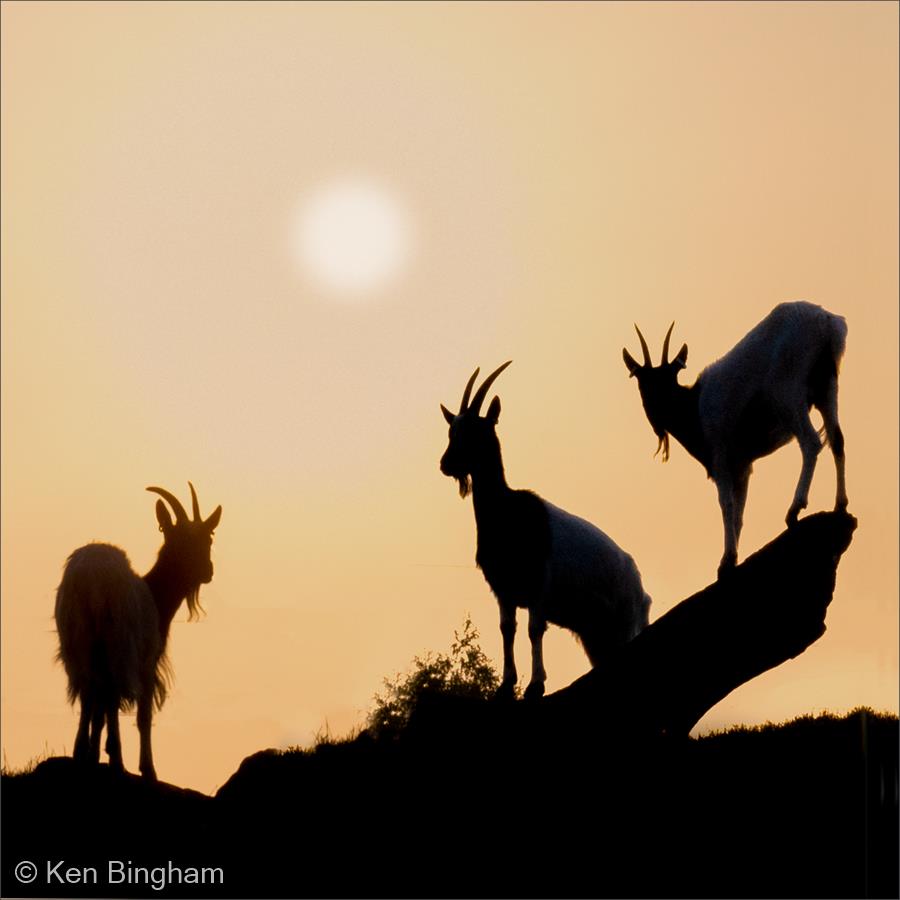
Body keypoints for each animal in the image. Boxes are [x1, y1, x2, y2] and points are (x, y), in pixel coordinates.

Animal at [55, 483, 222, 780]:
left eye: (208, 538)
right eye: (183, 540)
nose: (207, 571)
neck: (156, 595)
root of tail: (91, 578)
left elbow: (98, 706)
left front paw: (93, 755)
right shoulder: (147, 660)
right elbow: (144, 714)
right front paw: (148, 769)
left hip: (78, 641)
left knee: (90, 691)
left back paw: (82, 752)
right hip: (117, 640)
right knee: (108, 694)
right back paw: (116, 758)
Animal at [440, 362, 651, 700]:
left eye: (476, 431)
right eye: (451, 431)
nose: (446, 464)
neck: (507, 510)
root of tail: (641, 590)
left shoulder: (539, 584)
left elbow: (534, 630)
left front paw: (535, 685)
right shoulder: (504, 588)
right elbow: (507, 629)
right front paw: (506, 685)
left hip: (624, 621)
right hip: (596, 633)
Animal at [623, 301, 848, 575]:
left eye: (669, 381)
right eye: (642, 383)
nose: (657, 420)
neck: (694, 407)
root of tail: (827, 322)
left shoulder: (721, 458)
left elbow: (726, 504)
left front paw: (726, 560)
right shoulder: (743, 466)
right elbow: (740, 511)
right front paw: (733, 557)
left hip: (788, 393)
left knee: (811, 442)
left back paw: (794, 510)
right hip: (827, 387)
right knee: (837, 439)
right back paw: (840, 504)